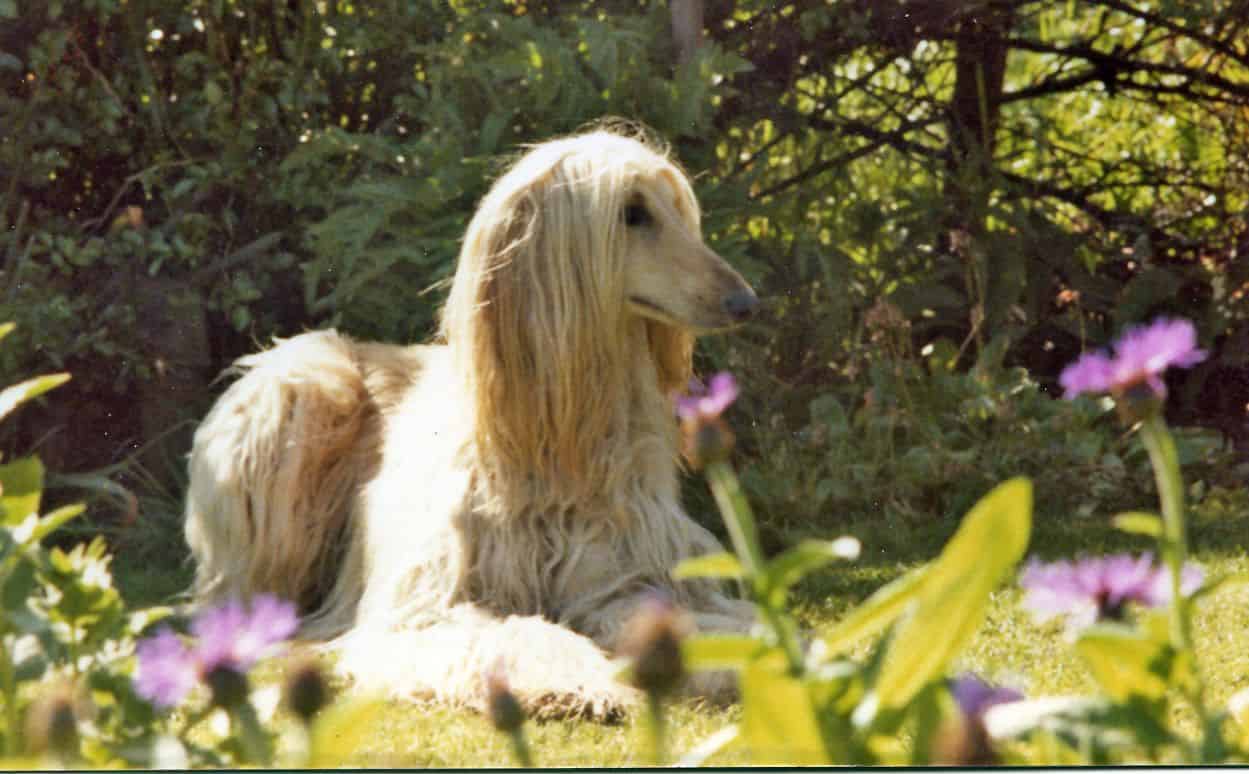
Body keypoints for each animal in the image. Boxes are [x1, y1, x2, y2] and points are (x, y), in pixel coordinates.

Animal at [181, 126, 754, 719]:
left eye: (677, 210)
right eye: (633, 214)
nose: (745, 301)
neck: (559, 439)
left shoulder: (619, 579)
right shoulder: (433, 603)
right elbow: (511, 632)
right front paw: (575, 683)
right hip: (302, 388)